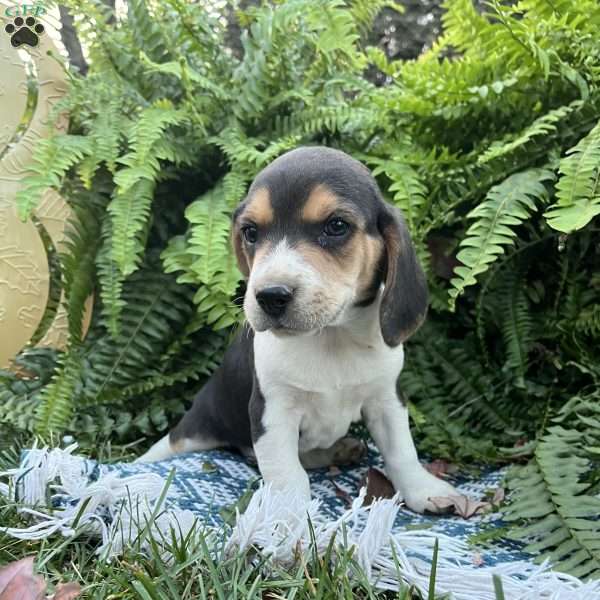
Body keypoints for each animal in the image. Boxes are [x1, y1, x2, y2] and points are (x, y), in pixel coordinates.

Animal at [138, 148, 458, 512]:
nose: (270, 296)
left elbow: (402, 451)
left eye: (336, 226)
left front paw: (424, 489)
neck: (330, 337)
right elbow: (288, 474)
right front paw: (286, 518)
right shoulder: (272, 411)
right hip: (195, 430)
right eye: (250, 232)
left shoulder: (386, 398)